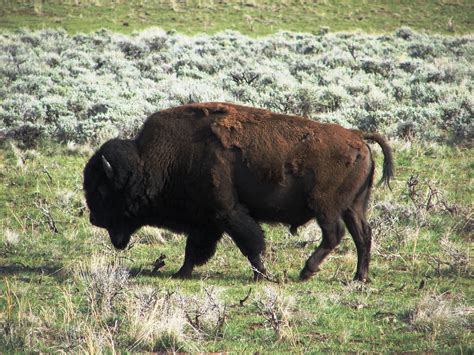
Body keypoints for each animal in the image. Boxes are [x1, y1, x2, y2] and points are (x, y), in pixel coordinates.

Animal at [84, 101, 392, 282]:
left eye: (102, 190)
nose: (94, 220)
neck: (151, 160)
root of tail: (357, 137)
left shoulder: (227, 213)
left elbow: (250, 244)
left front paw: (262, 276)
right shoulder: (205, 221)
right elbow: (194, 250)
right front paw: (181, 273)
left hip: (325, 207)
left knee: (334, 235)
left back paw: (306, 272)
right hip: (354, 206)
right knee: (362, 236)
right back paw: (359, 277)